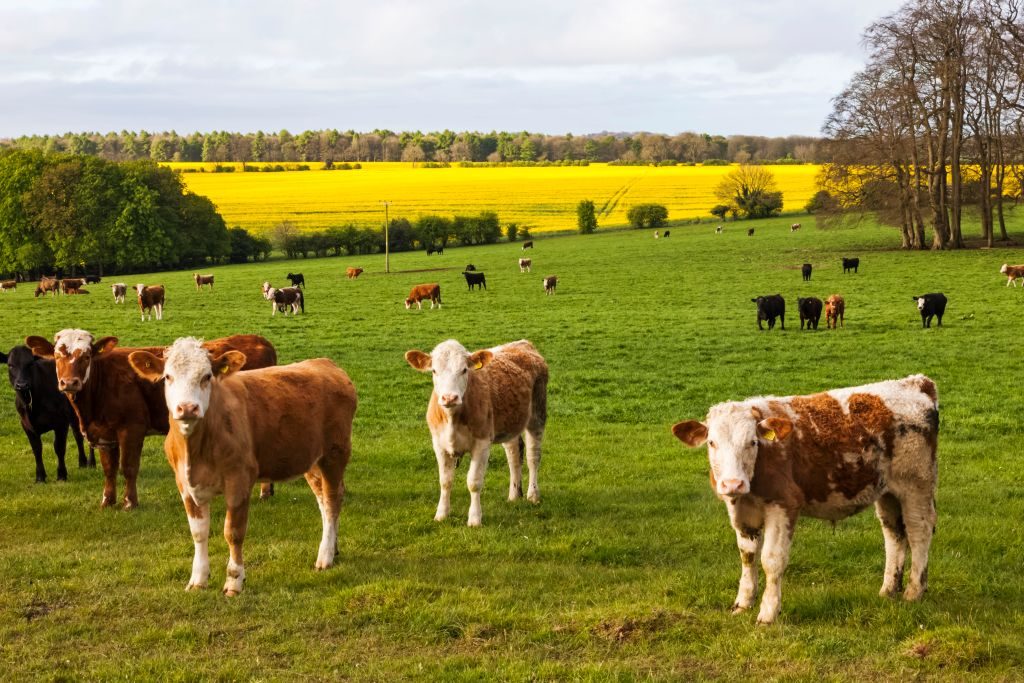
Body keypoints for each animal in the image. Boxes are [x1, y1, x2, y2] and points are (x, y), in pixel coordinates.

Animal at [1, 346, 94, 482]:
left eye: (30, 364)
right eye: (10, 365)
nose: (22, 385)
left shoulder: (61, 423)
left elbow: (59, 448)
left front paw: (61, 474)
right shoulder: (26, 425)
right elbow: (37, 449)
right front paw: (40, 477)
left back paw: (91, 462)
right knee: (78, 435)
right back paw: (82, 462)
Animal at [24, 330, 277, 509]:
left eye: (86, 356)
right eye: (57, 356)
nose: (69, 383)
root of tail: (259, 340)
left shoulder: (132, 429)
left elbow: (128, 467)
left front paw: (130, 502)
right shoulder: (104, 434)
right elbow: (109, 469)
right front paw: (107, 501)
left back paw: (265, 492)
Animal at [127, 337, 356, 595]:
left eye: (207, 376)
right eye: (168, 376)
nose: (187, 408)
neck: (196, 450)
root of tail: (325, 364)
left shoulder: (239, 481)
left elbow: (233, 533)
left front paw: (234, 581)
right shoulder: (185, 485)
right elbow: (199, 533)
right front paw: (198, 579)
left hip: (335, 454)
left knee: (332, 500)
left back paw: (325, 556)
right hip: (312, 460)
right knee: (323, 499)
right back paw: (333, 548)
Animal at [405, 339, 548, 527]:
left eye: (464, 369)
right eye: (434, 370)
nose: (449, 398)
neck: (452, 418)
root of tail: (522, 343)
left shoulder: (482, 443)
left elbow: (474, 482)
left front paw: (474, 518)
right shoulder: (439, 444)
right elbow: (445, 481)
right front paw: (441, 514)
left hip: (537, 415)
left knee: (533, 457)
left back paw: (533, 495)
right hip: (509, 424)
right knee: (514, 456)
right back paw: (514, 495)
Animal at [671, 375, 939, 624]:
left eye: (752, 442)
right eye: (712, 443)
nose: (733, 484)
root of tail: (917, 382)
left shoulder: (784, 505)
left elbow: (771, 560)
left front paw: (768, 613)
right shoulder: (740, 511)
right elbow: (747, 556)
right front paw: (743, 603)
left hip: (916, 485)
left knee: (919, 532)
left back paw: (914, 591)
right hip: (887, 492)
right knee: (894, 534)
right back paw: (888, 590)